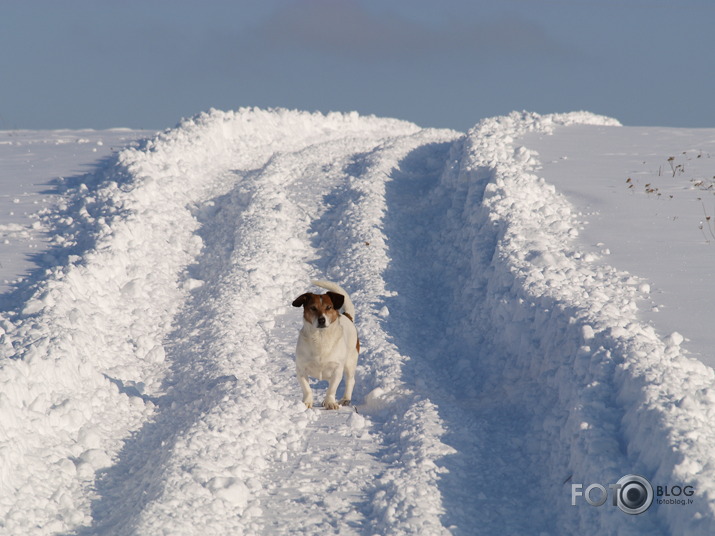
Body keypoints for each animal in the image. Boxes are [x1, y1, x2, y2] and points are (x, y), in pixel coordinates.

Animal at [290, 280, 358, 410]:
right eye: (313, 308)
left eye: (329, 307)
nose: (321, 320)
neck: (321, 338)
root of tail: (347, 316)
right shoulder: (301, 369)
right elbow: (307, 389)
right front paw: (306, 403)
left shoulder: (337, 369)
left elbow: (331, 389)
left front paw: (330, 402)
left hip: (350, 362)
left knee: (350, 381)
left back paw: (345, 399)